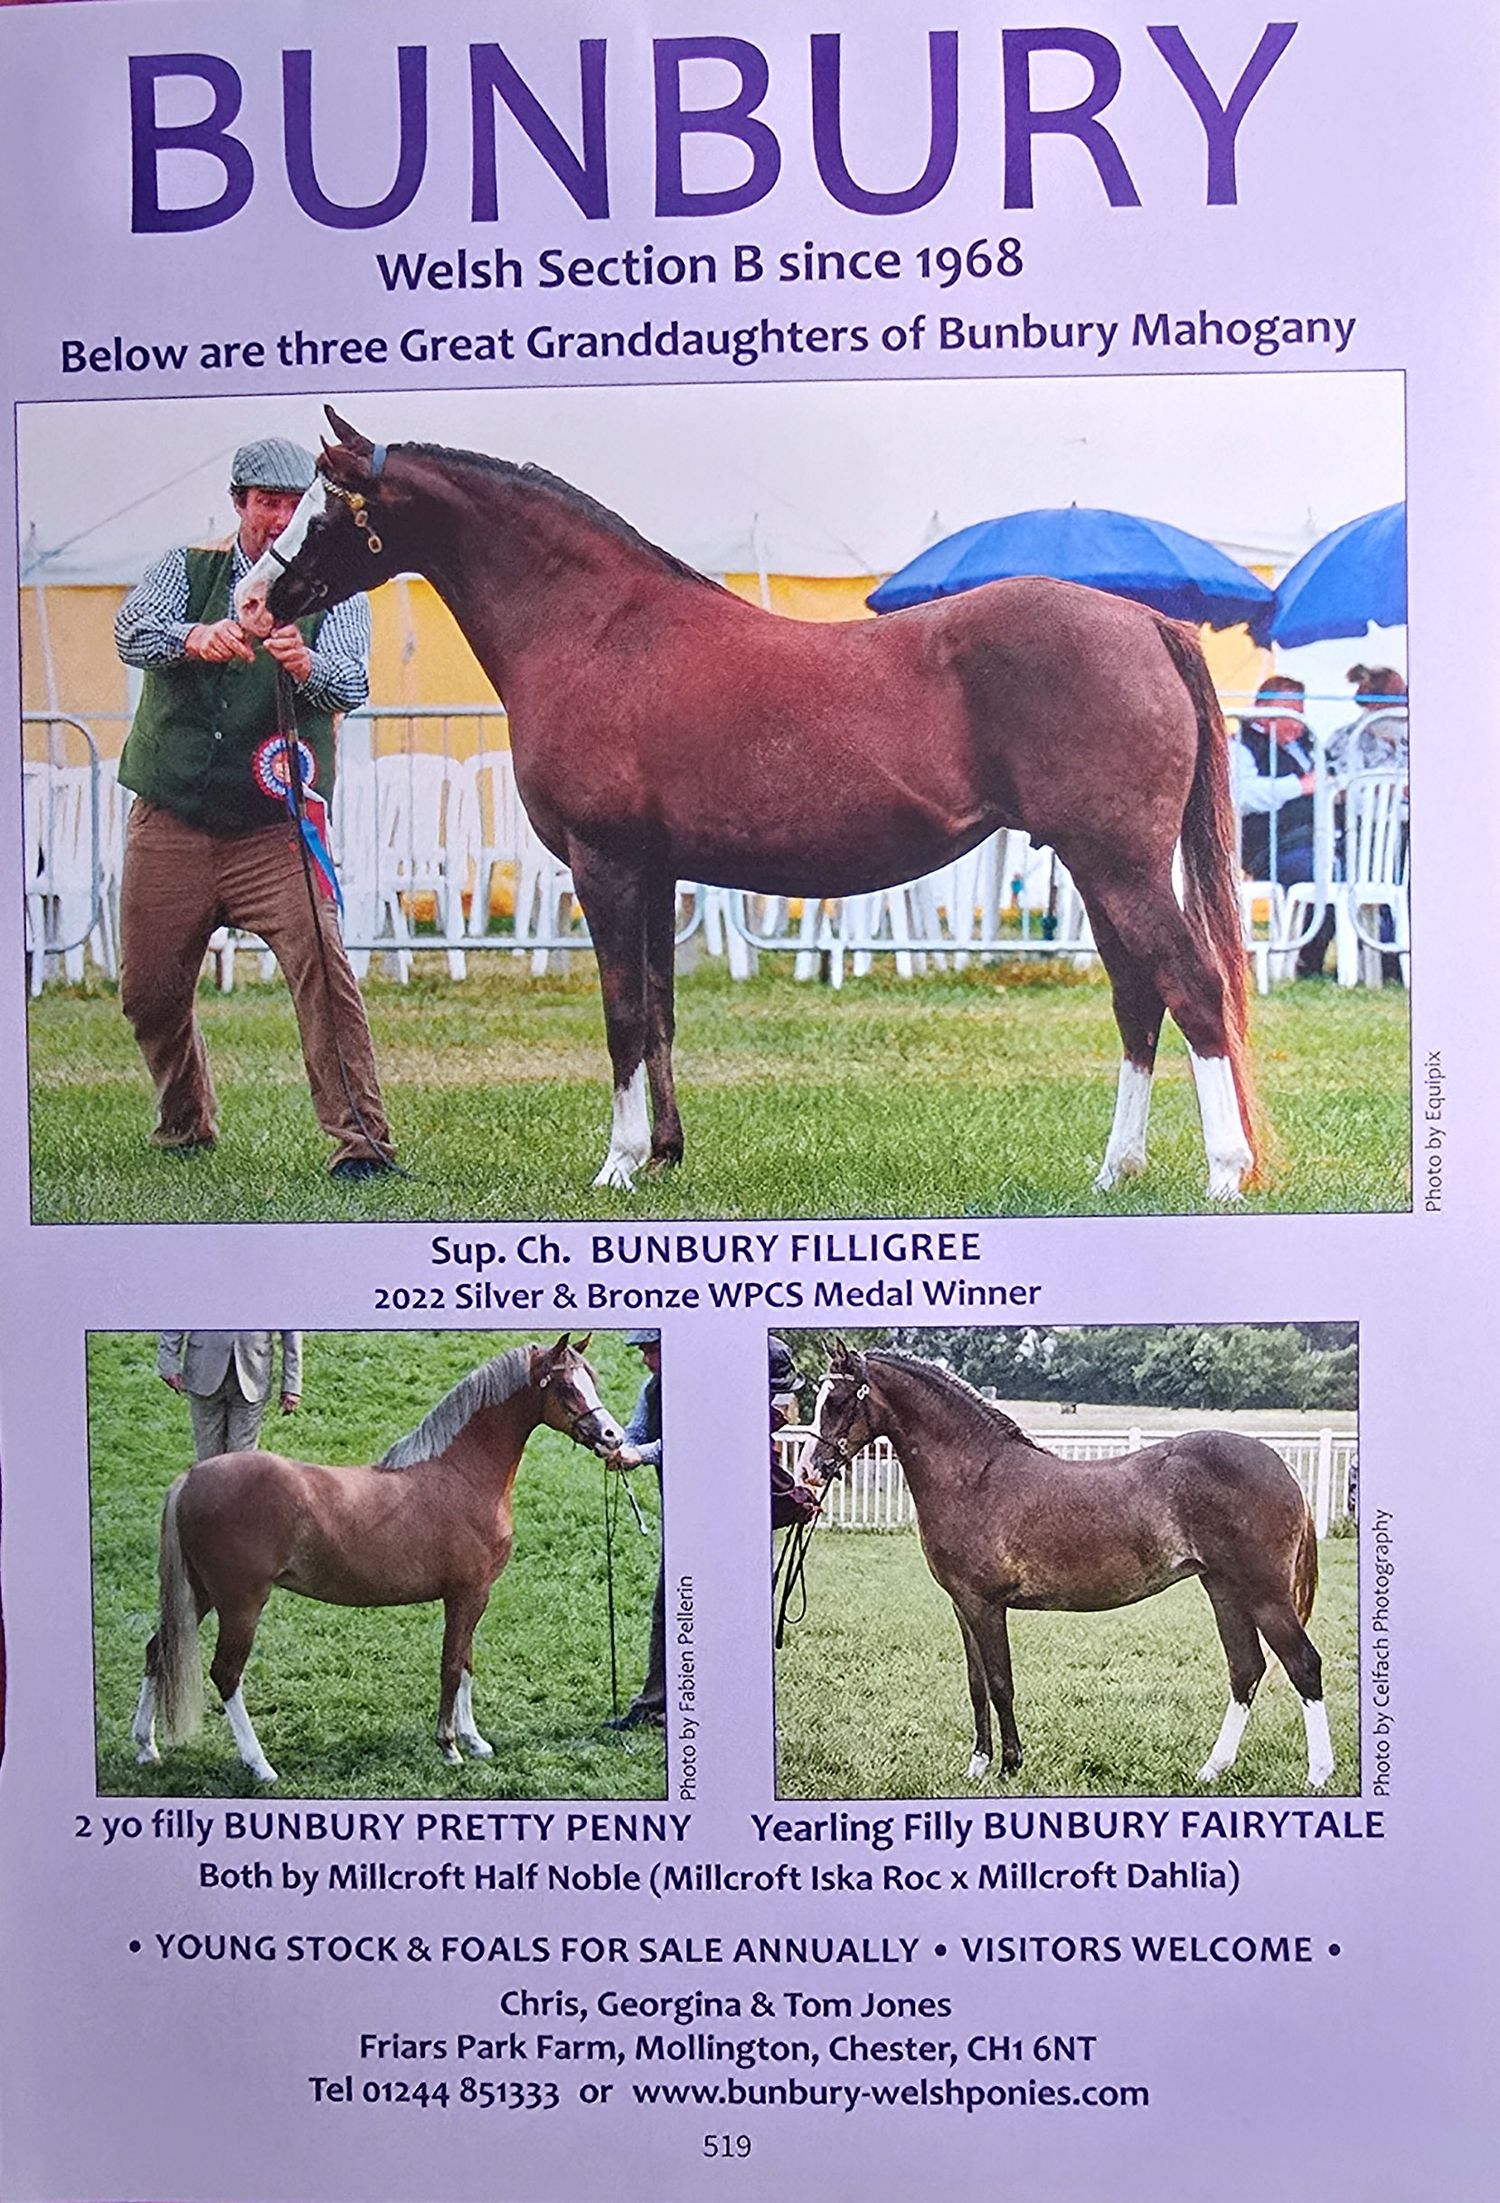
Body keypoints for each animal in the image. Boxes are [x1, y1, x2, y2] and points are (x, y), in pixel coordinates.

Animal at [131, 1336, 623, 1784]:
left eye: (590, 1379)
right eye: (566, 1386)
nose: (612, 1437)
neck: (461, 1475)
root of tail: (191, 1478)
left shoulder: (472, 1598)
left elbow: (465, 1663)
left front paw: (475, 1741)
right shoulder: (467, 1595)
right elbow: (451, 1665)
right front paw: (448, 1746)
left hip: (200, 1594)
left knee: (158, 1649)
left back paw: (146, 1747)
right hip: (240, 1604)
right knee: (226, 1673)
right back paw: (260, 1765)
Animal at [236, 409, 1259, 1203]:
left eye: (325, 506)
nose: (255, 600)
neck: (595, 629)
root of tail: (1144, 622)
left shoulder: (605, 866)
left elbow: (619, 1012)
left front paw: (616, 1164)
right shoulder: (655, 874)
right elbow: (657, 1010)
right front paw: (664, 1155)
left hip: (1118, 863)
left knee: (1191, 985)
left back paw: (1223, 1170)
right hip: (1099, 866)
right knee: (1138, 999)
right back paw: (1116, 1170)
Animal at [806, 1342, 1333, 1790]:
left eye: (838, 1401)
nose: (812, 1469)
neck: (976, 1477)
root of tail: (1281, 1466)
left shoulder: (985, 1606)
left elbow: (1001, 1683)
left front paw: (1010, 1766)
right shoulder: (963, 1606)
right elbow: (976, 1685)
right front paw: (977, 1765)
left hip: (1264, 1595)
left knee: (1303, 1665)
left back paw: (1318, 1775)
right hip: (1224, 1589)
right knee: (1245, 1669)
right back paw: (1212, 1769)